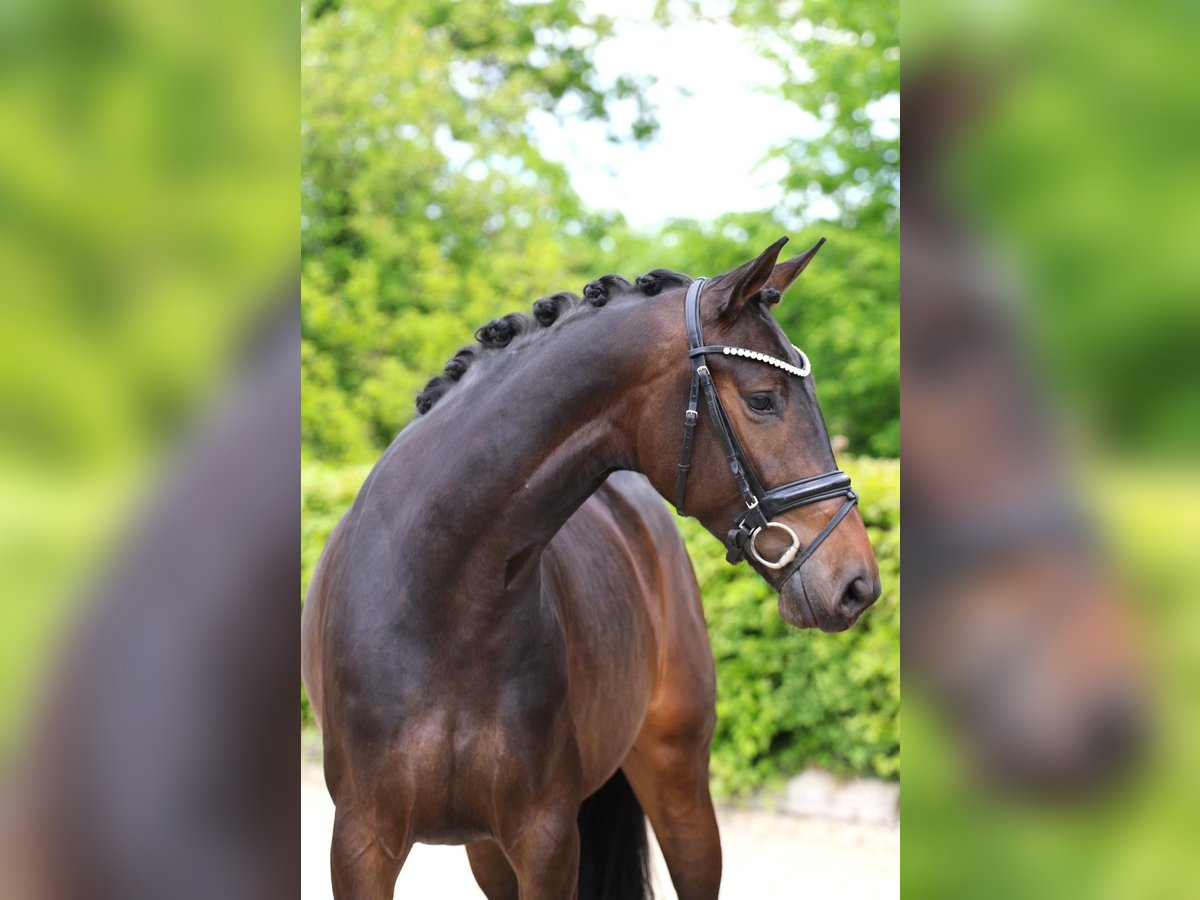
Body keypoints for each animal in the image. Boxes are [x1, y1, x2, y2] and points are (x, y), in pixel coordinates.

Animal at [301, 237, 882, 899]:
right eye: (764, 400)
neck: (444, 599)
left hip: (677, 778)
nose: (857, 583)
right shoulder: (362, 845)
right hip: (487, 851)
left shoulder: (547, 839)